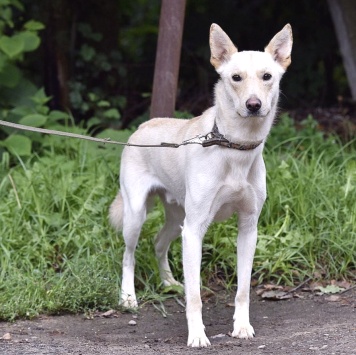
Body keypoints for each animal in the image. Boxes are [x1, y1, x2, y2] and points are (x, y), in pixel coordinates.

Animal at [110, 23, 294, 348]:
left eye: (267, 76)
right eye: (236, 78)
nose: (254, 105)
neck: (234, 147)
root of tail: (141, 127)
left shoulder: (248, 228)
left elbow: (243, 289)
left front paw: (242, 327)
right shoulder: (194, 230)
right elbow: (194, 296)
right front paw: (197, 335)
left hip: (177, 219)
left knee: (159, 243)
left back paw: (169, 281)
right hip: (137, 216)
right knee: (128, 256)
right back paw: (128, 297)